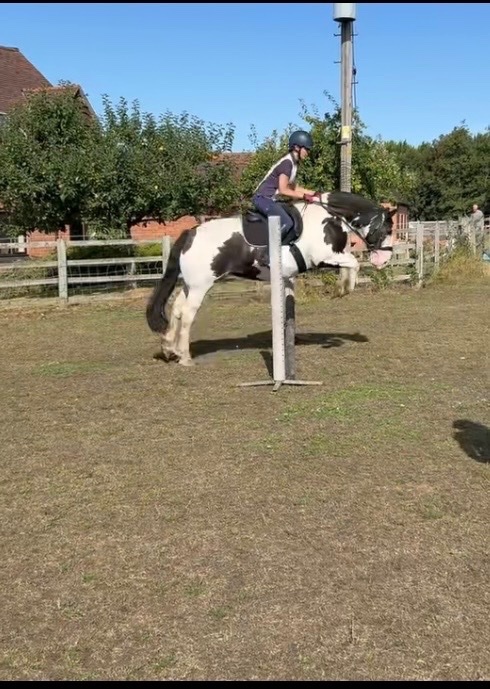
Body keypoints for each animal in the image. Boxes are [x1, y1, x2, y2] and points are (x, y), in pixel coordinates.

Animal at [145, 190, 396, 366]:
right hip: (200, 285)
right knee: (188, 314)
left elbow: (349, 264)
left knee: (176, 309)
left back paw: (169, 348)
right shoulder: (323, 257)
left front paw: (342, 287)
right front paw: (342, 289)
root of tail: (191, 233)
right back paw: (185, 357)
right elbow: (353, 263)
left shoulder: (331, 257)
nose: (384, 260)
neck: (329, 217)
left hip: (190, 285)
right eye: (388, 229)